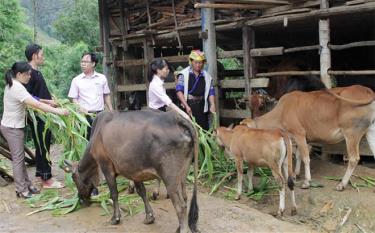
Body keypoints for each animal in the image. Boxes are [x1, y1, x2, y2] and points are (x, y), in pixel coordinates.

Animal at [63, 110, 201, 233]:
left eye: (74, 178)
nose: (81, 200)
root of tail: (177, 119)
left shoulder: (106, 165)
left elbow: (114, 193)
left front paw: (115, 218)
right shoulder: (135, 172)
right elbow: (142, 192)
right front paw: (149, 217)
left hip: (170, 178)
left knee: (180, 206)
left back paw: (182, 229)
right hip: (182, 174)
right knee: (185, 198)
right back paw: (178, 227)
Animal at [241, 84, 375, 190]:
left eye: (261, 105)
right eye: (250, 106)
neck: (281, 112)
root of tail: (367, 90)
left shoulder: (299, 134)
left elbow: (305, 157)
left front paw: (306, 182)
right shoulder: (297, 138)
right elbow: (298, 155)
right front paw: (295, 174)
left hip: (351, 133)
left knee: (353, 158)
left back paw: (341, 184)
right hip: (370, 131)